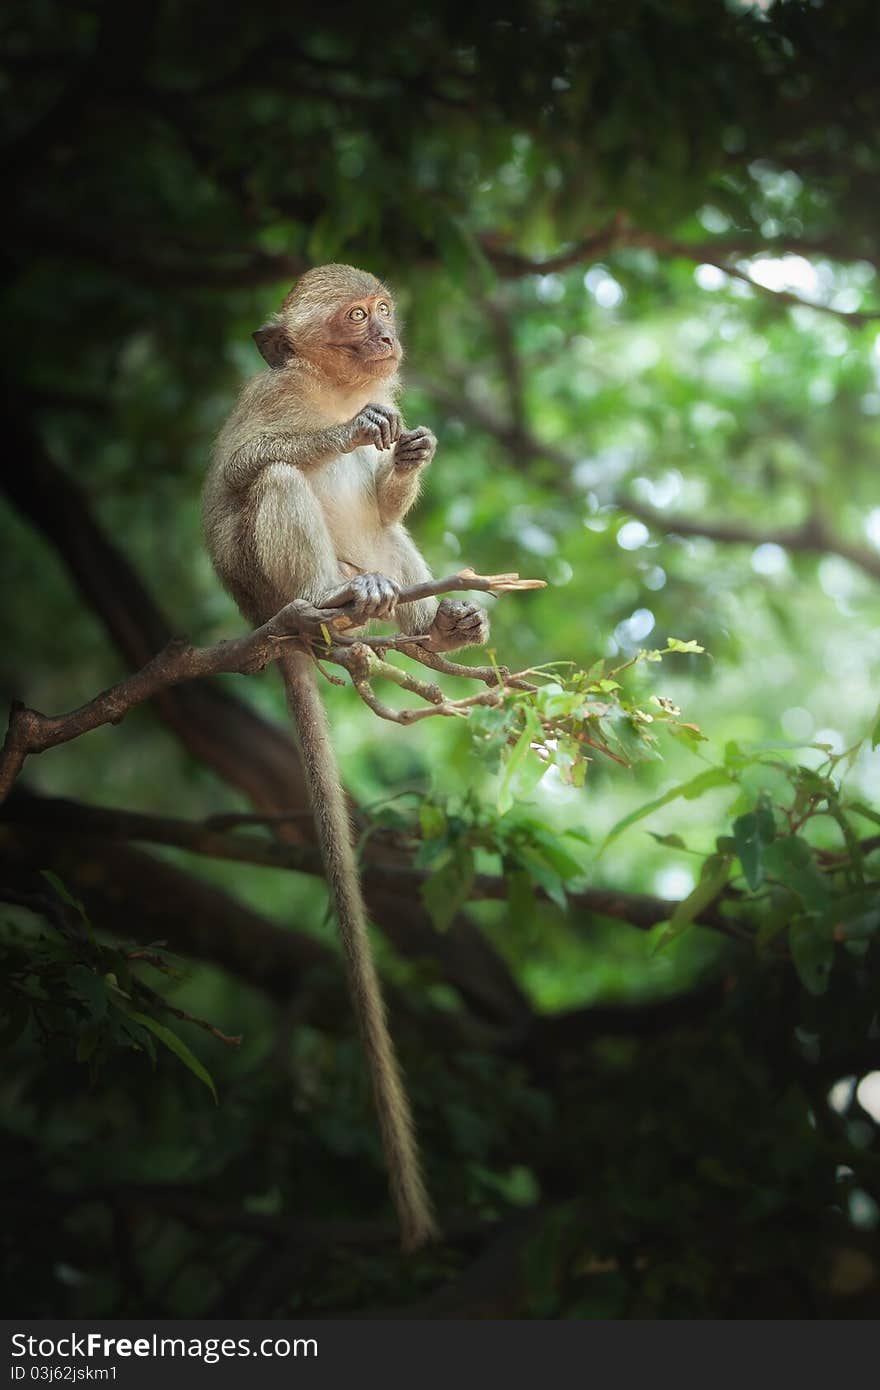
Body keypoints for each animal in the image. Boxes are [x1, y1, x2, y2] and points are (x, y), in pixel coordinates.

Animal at [200, 261, 486, 1251]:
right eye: (357, 317)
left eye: (385, 310)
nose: (388, 338)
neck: (334, 386)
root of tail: (258, 621)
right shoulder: (265, 399)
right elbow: (240, 475)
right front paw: (347, 434)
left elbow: (388, 493)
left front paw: (409, 454)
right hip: (262, 586)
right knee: (278, 484)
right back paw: (330, 605)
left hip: (384, 579)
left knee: (383, 538)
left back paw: (436, 624)